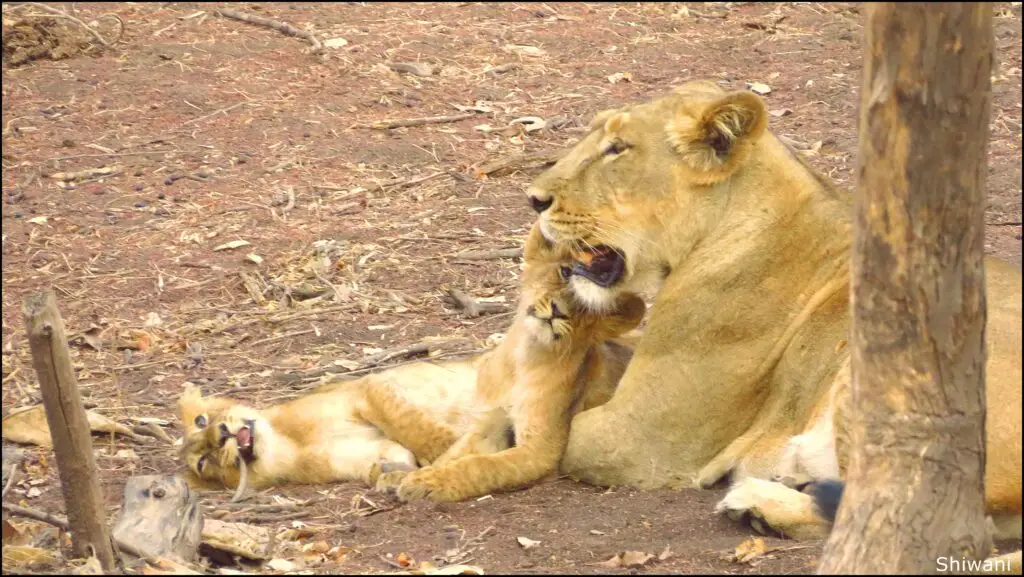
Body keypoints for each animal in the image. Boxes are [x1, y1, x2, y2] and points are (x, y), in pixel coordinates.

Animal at [178, 222, 644, 500]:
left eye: (591, 310)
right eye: (565, 272)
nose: (559, 312)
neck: (524, 359)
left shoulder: (540, 448)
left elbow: (478, 464)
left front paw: (427, 480)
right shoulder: (485, 421)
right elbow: (450, 451)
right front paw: (405, 474)